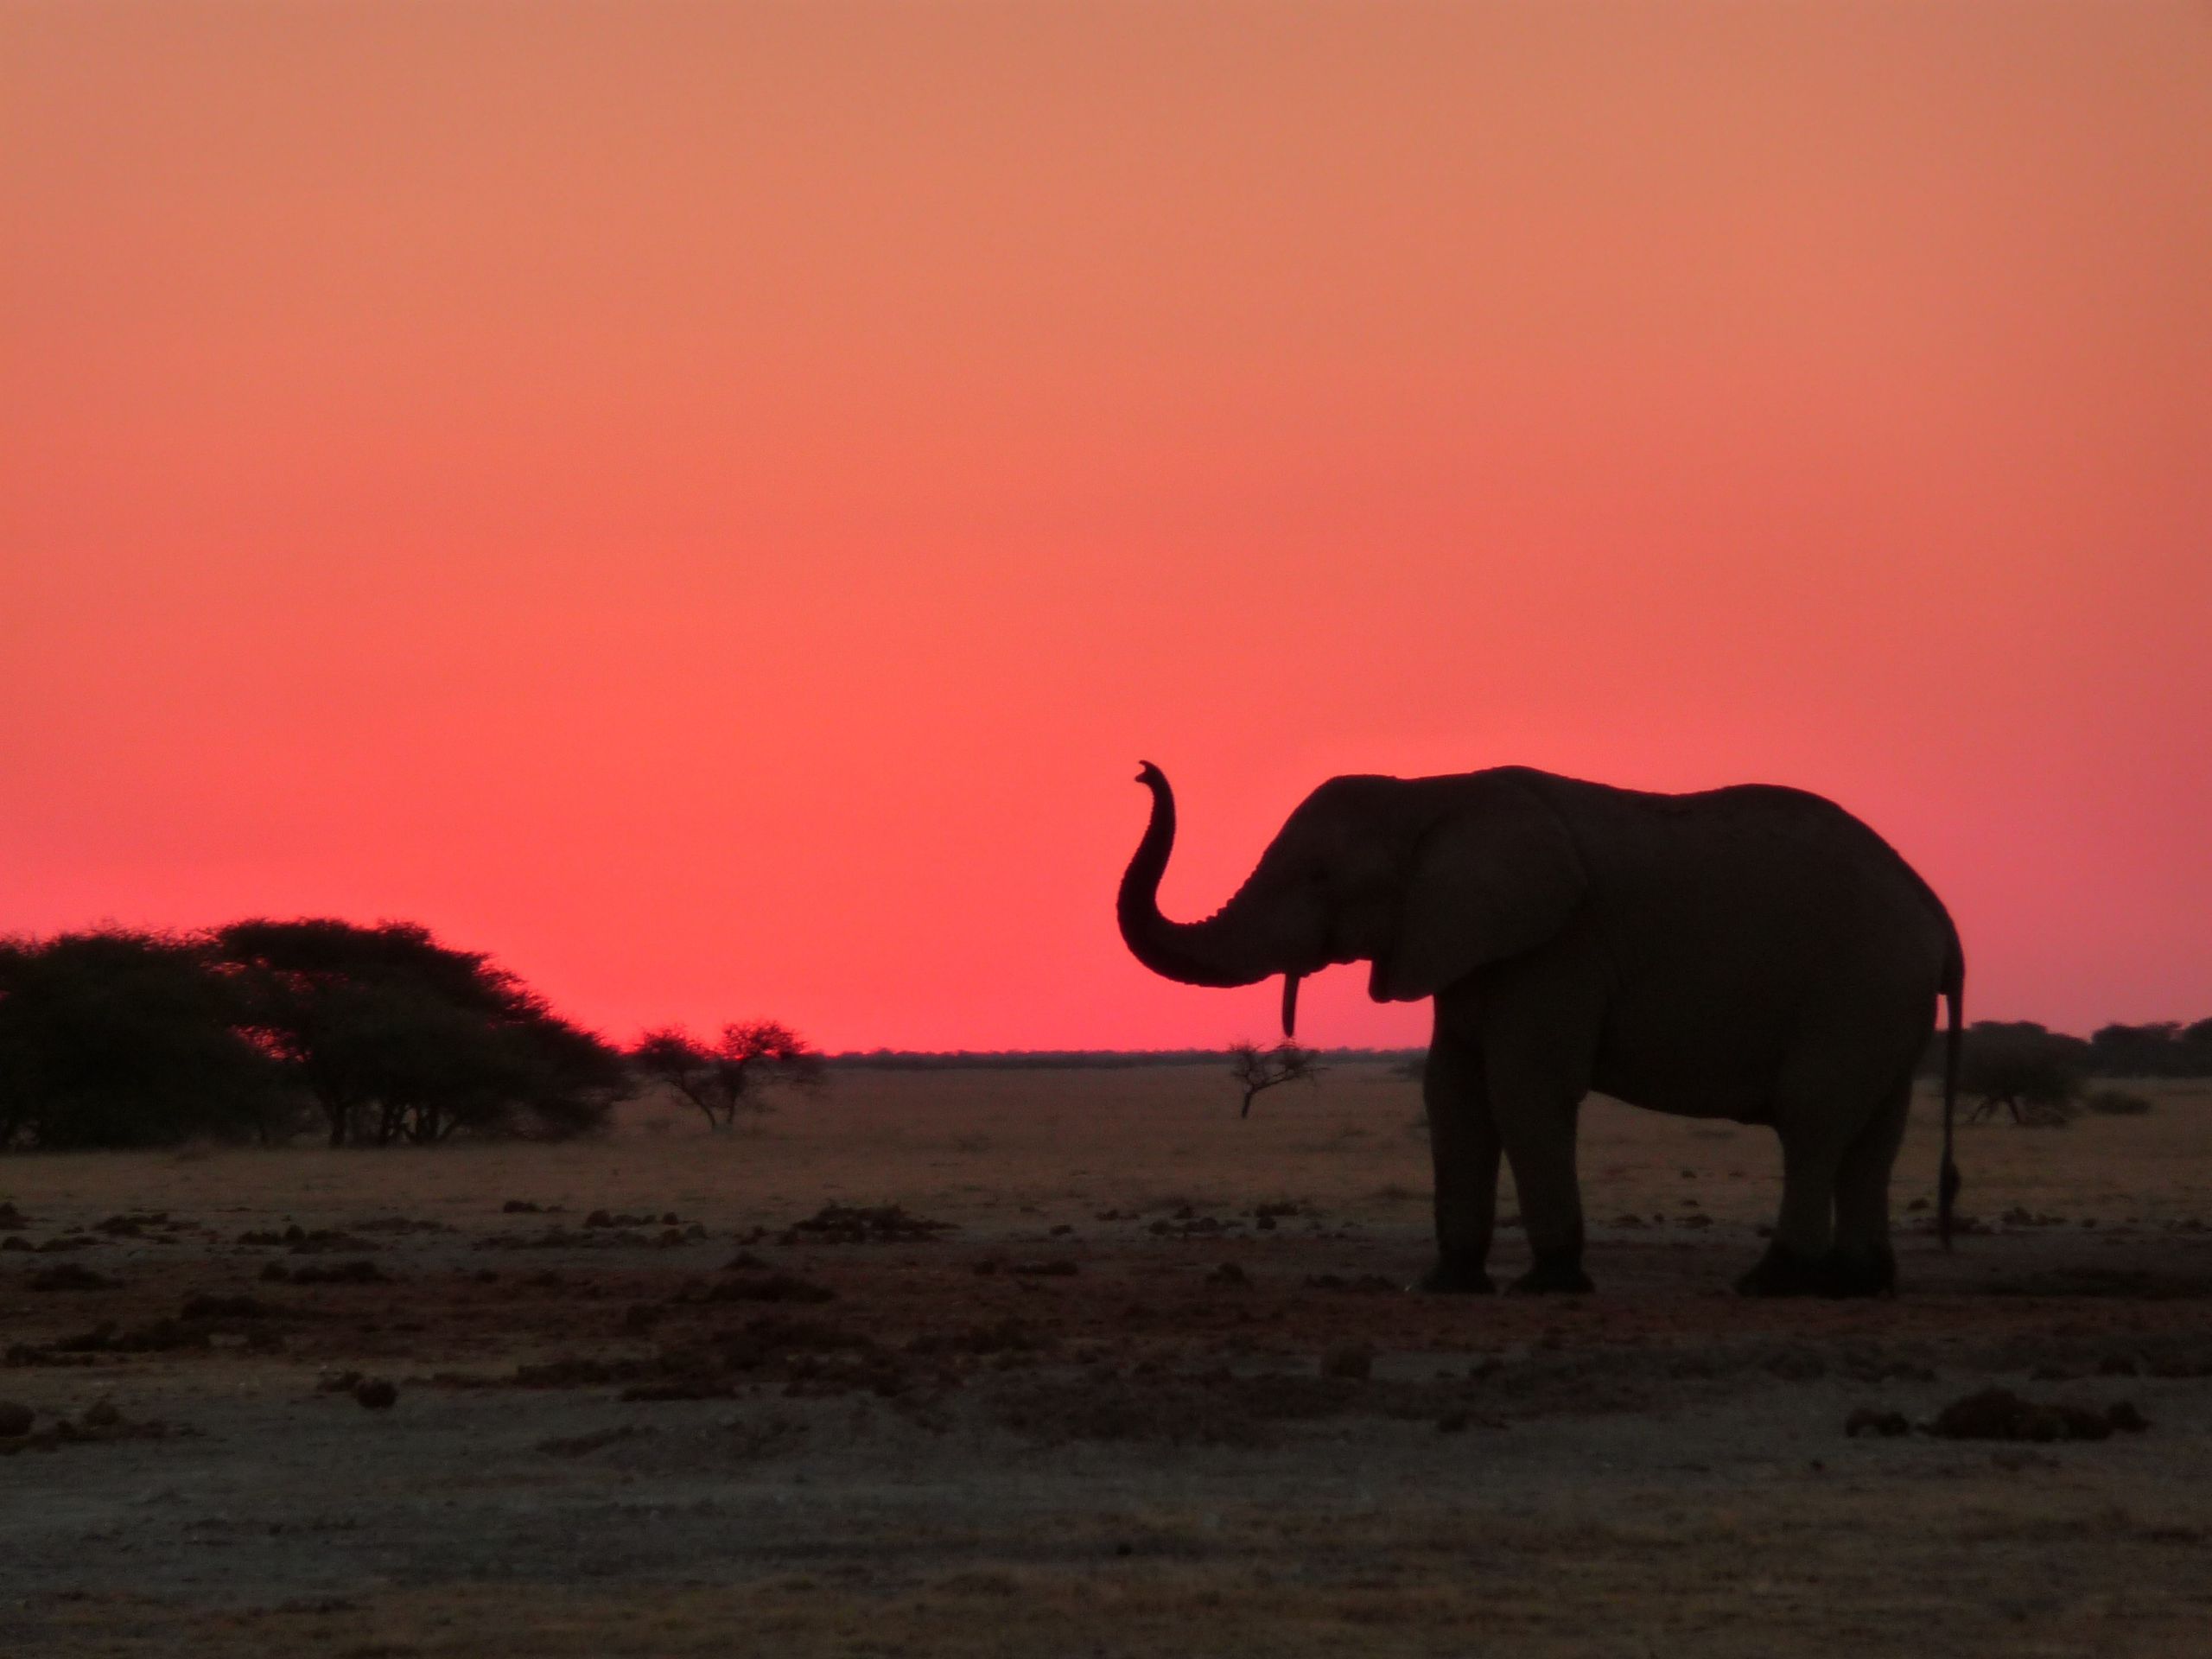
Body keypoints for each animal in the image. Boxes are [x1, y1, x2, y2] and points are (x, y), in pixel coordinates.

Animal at [1117, 762, 1964, 1297]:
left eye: (1321, 877)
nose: (1140, 774)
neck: (1433, 794)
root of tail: (1938, 919)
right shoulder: (1463, 945)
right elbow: (1451, 1094)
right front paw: (1441, 1287)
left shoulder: (1558, 946)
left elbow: (1524, 1091)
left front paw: (1545, 1285)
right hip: (1886, 1003)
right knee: (1873, 1134)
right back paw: (1859, 1287)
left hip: (1857, 987)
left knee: (1812, 1123)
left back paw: (1770, 1285)